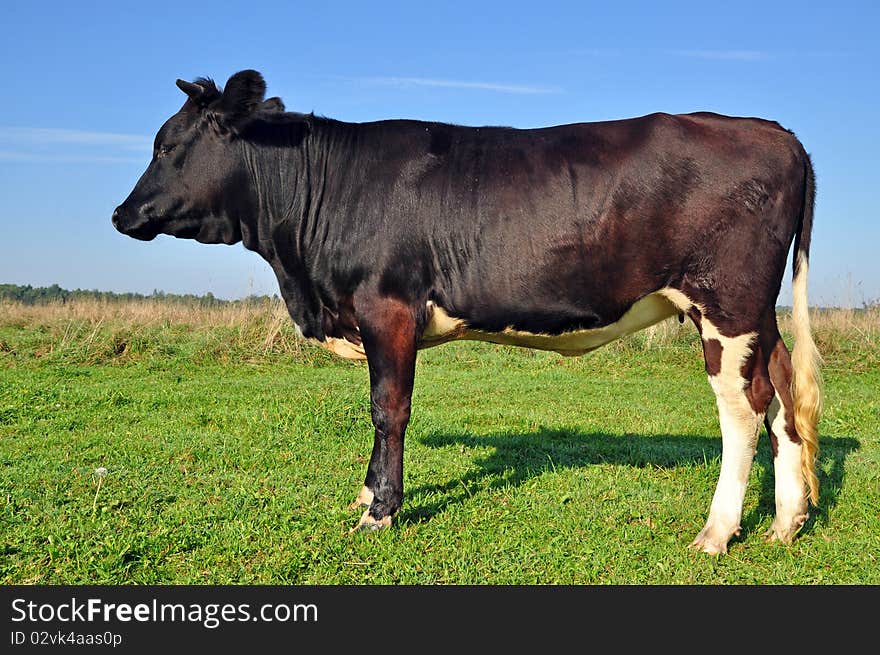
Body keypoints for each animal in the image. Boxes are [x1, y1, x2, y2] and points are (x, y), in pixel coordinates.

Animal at [113, 70, 820, 552]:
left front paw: (379, 510)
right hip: (755, 314)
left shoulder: (387, 307)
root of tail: (771, 130)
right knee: (783, 389)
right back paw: (786, 522)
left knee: (743, 408)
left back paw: (718, 532)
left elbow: (388, 408)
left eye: (167, 145)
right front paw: (367, 494)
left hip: (726, 304)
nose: (121, 213)